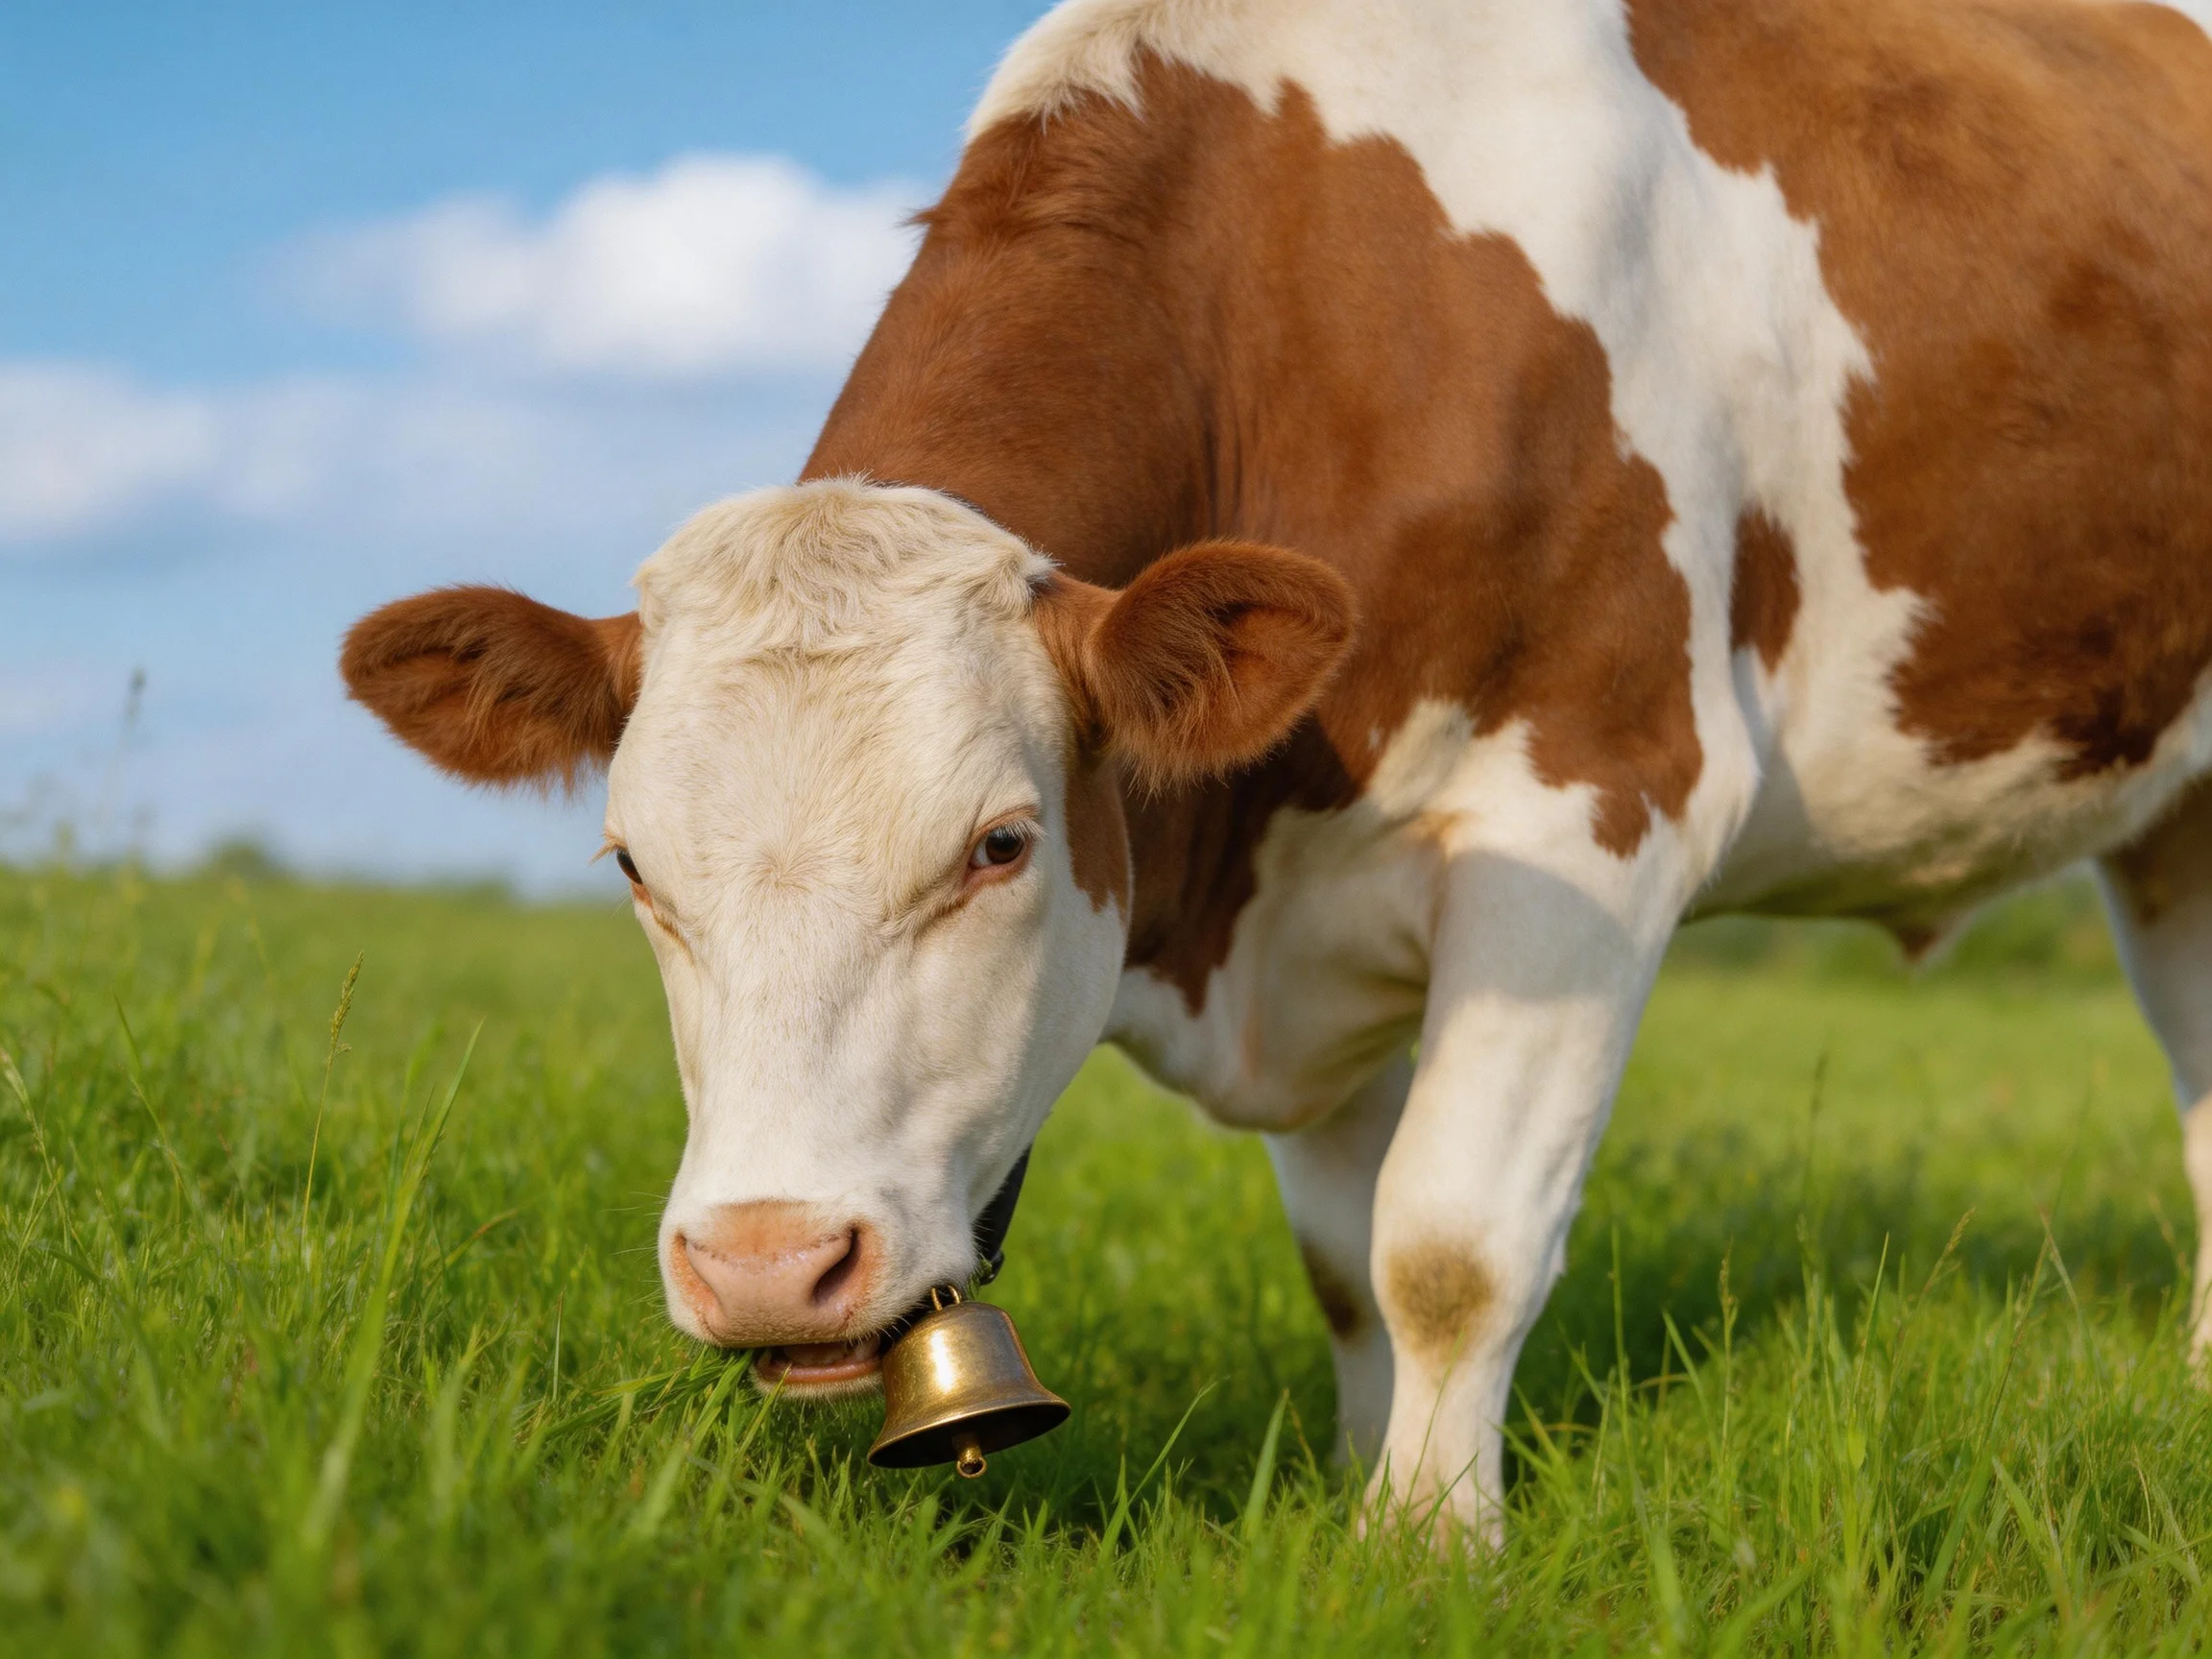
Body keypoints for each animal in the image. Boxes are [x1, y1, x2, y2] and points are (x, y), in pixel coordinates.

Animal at [340, 0, 2212, 1541]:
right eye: (635, 867)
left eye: (999, 844)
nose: (767, 1262)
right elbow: (1342, 1268)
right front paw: (1359, 1495)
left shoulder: (1591, 815)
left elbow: (1444, 1245)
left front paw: (1429, 1549)